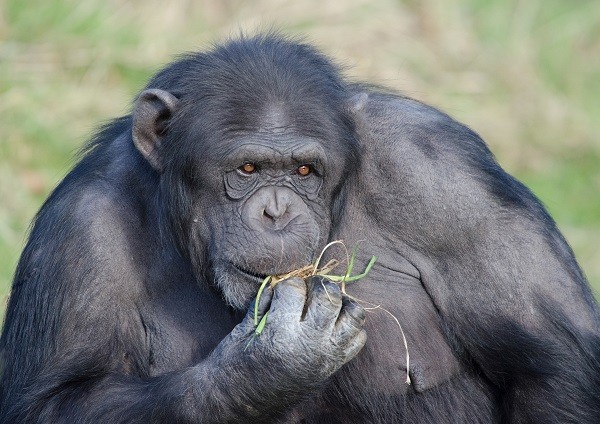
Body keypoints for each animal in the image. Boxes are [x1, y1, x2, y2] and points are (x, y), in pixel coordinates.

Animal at [0, 34, 596, 422]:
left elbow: (552, 362)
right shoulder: (80, 229)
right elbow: (54, 399)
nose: (277, 211)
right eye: (247, 169)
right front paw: (271, 364)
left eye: (305, 171)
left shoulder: (449, 176)